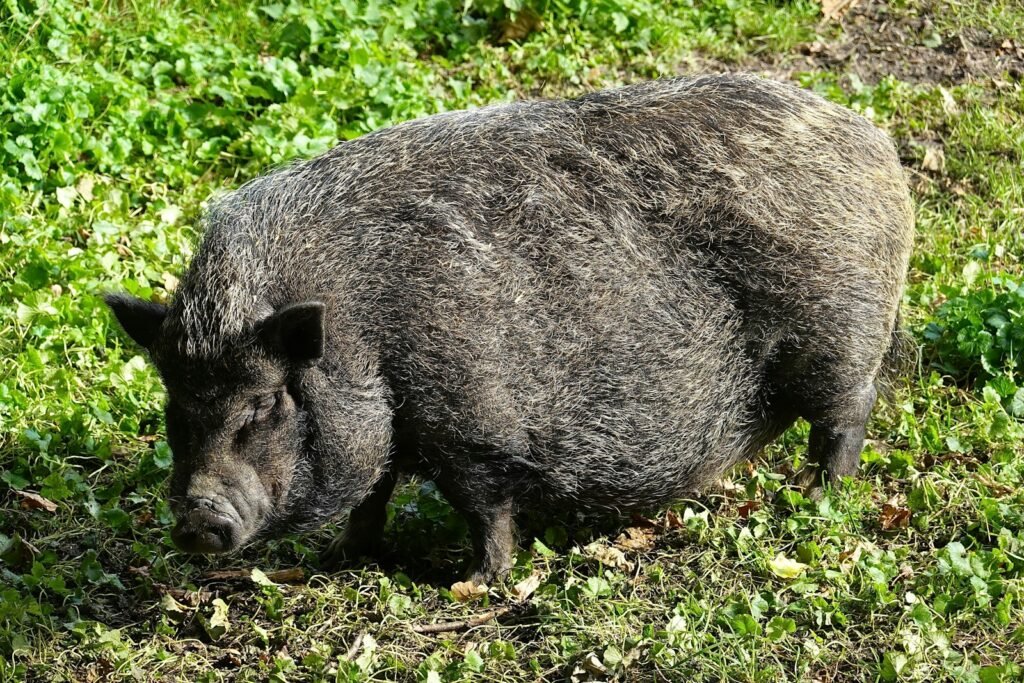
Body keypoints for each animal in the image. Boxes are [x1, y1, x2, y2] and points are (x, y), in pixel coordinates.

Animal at [105, 74, 914, 583]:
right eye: (174, 406)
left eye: (264, 404)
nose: (196, 519)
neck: (362, 335)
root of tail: (875, 146)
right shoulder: (391, 429)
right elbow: (372, 494)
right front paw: (339, 560)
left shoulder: (472, 422)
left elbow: (484, 507)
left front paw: (473, 583)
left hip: (838, 338)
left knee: (848, 417)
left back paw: (817, 498)